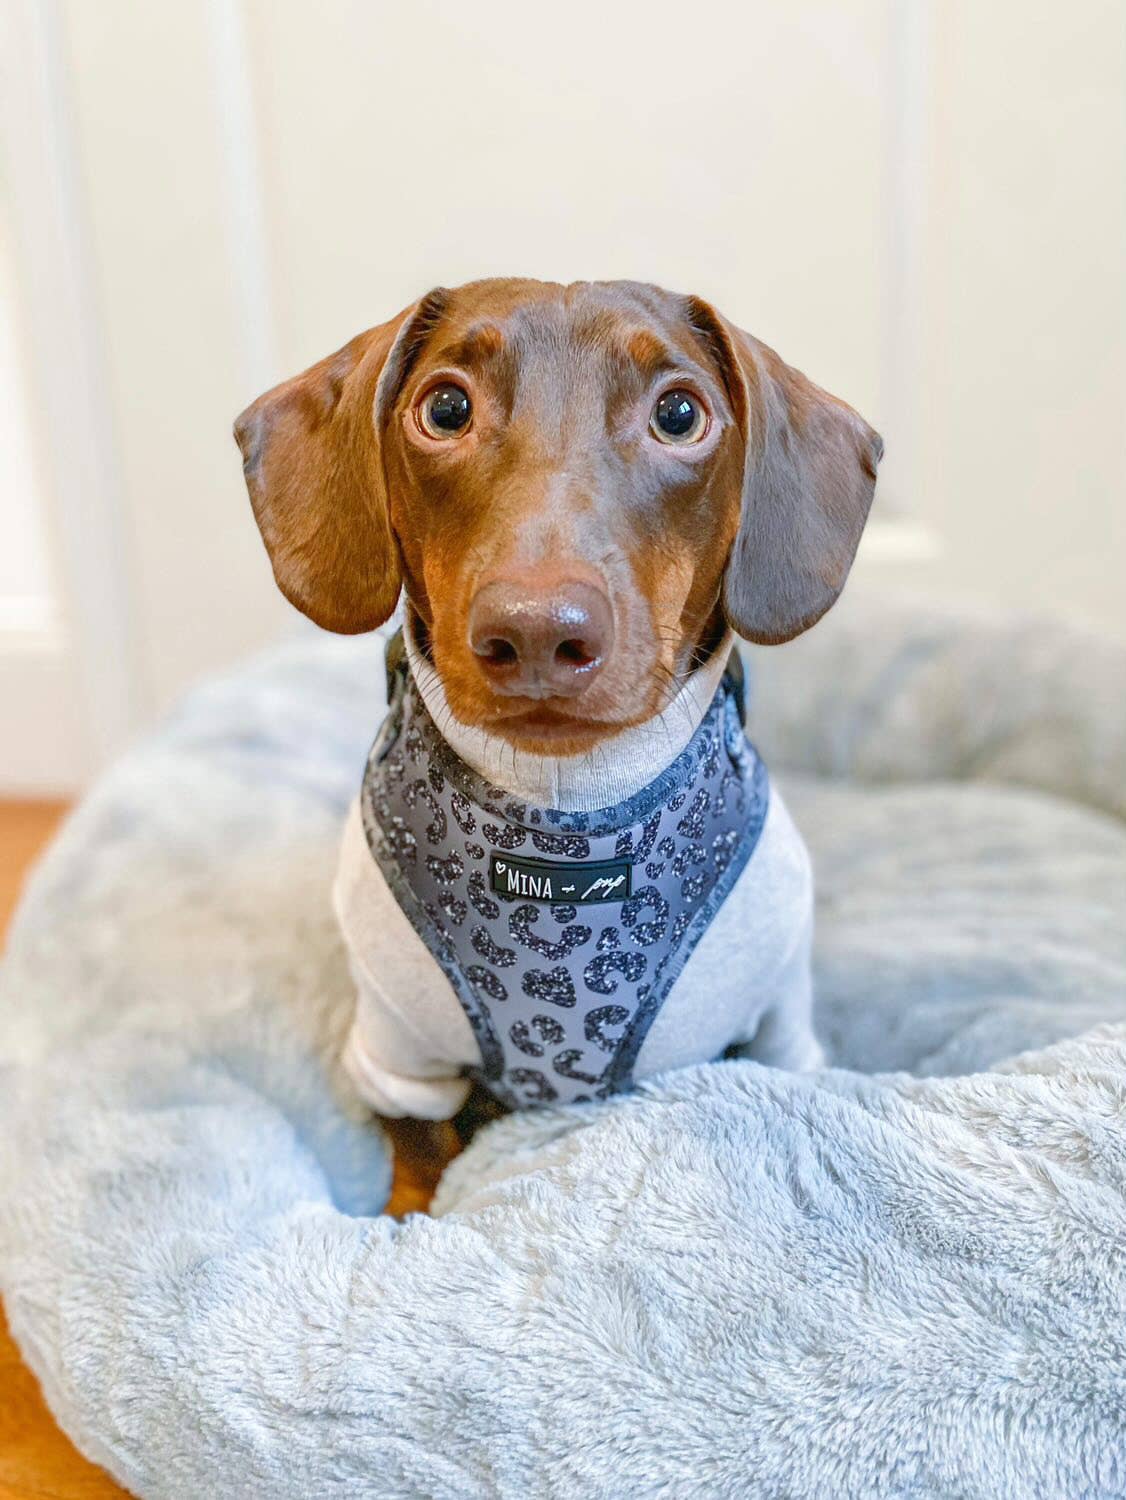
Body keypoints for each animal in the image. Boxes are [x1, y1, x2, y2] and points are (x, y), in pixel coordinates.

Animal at [233, 279, 887, 1116]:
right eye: (446, 407)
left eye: (680, 414)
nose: (537, 633)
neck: (566, 807)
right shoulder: (398, 1065)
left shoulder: (780, 1034)